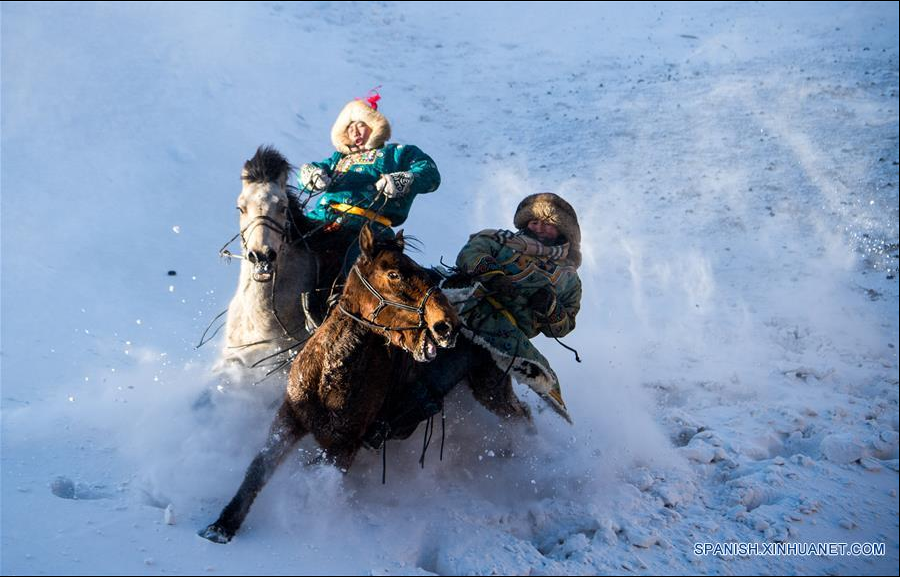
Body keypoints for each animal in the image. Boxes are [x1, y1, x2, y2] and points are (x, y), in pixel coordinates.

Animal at [200, 224, 460, 540]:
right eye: (394, 274)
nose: (447, 325)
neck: (330, 374)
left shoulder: (344, 446)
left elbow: (311, 475)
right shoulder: (289, 417)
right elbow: (260, 467)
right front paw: (222, 525)